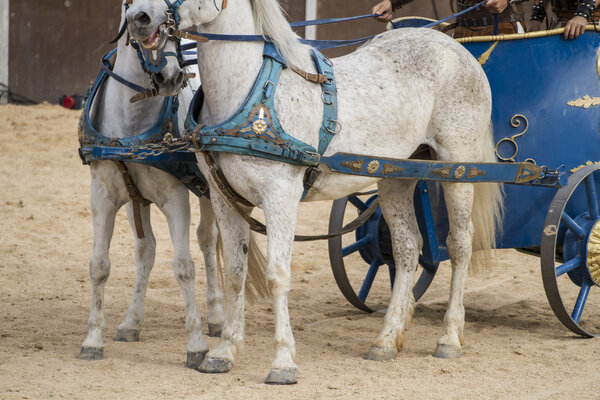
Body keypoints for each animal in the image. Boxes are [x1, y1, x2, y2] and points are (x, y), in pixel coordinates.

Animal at [78, 3, 266, 370]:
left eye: (170, 16)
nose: (143, 18)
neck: (132, 126)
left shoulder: (174, 198)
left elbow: (184, 267)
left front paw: (196, 346)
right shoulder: (103, 197)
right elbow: (100, 265)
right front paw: (93, 339)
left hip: (209, 191)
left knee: (207, 243)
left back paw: (216, 318)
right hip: (139, 201)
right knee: (146, 251)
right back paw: (131, 322)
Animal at [125, 0, 502, 382]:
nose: (139, 17)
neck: (247, 93)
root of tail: (456, 48)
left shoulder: (280, 197)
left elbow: (278, 276)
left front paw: (282, 361)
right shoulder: (224, 199)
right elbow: (234, 273)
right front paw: (224, 351)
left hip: (458, 169)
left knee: (459, 245)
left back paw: (449, 337)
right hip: (397, 176)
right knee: (408, 247)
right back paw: (386, 339)